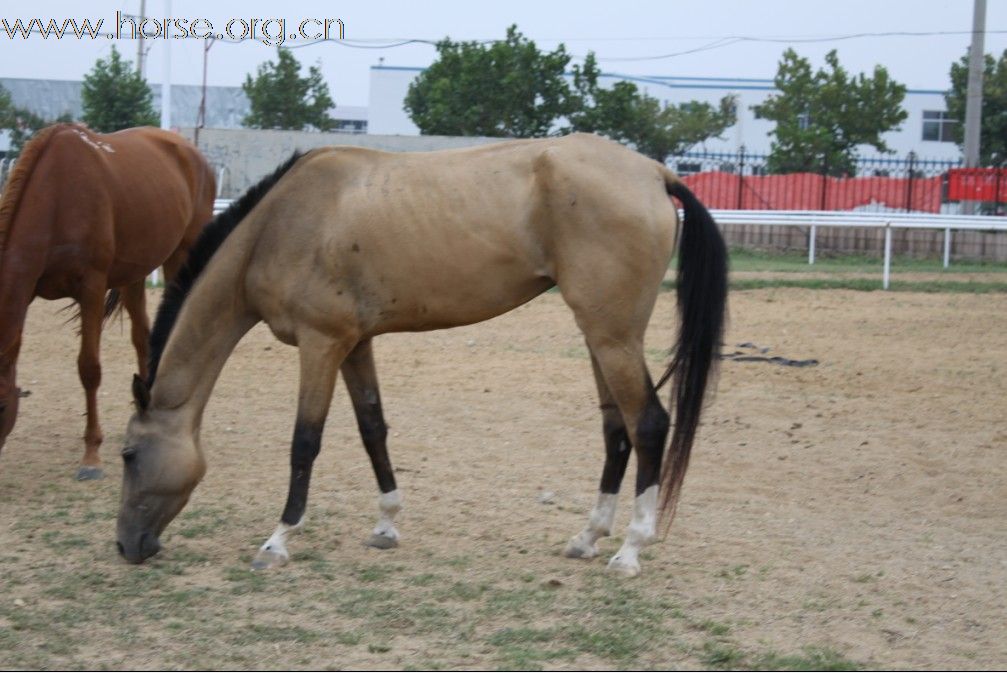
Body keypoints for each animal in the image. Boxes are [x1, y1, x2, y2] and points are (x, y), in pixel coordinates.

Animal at [0, 123, 212, 481]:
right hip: (135, 272)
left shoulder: (92, 287)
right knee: (143, 337)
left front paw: (91, 455)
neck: (57, 196)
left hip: (181, 255)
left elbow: (89, 368)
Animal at [117, 133, 729, 576]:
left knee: (649, 424)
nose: (127, 546)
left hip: (612, 336)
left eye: (128, 455)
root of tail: (654, 173)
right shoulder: (354, 343)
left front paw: (278, 539)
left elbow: (304, 442)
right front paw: (386, 525)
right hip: (599, 336)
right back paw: (587, 537)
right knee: (617, 429)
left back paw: (630, 550)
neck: (282, 223)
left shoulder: (320, 344)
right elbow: (373, 428)